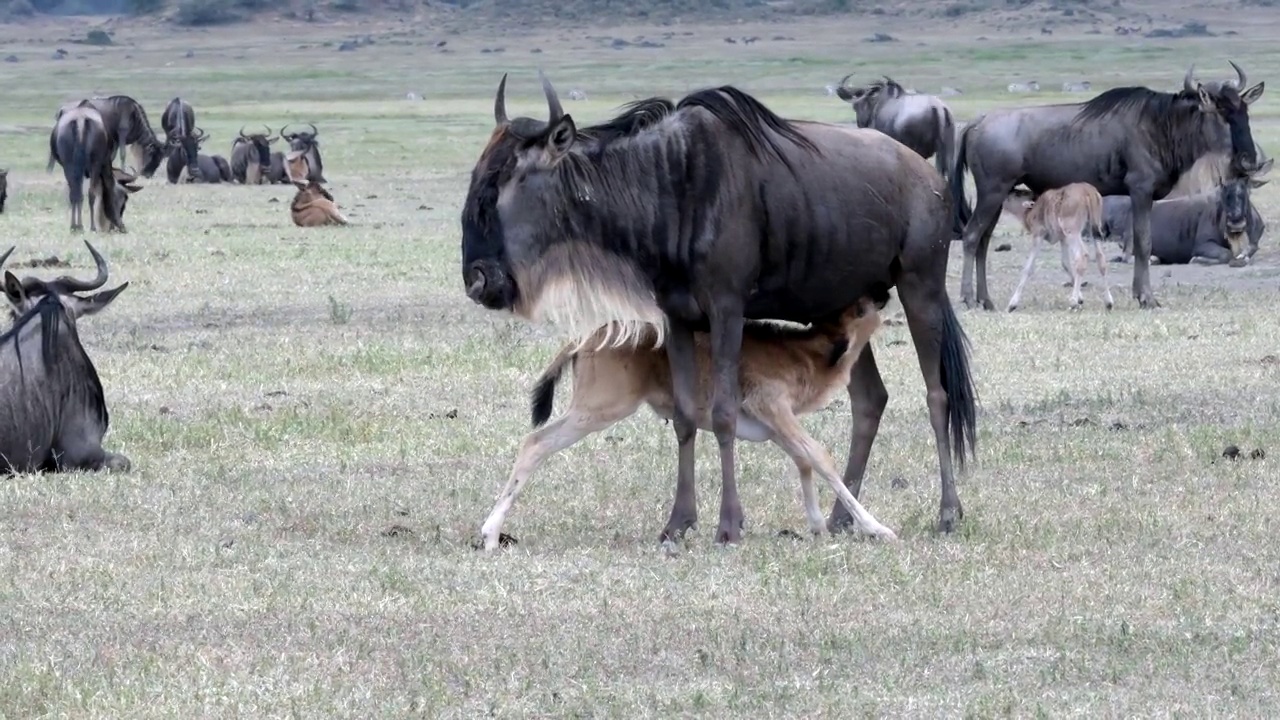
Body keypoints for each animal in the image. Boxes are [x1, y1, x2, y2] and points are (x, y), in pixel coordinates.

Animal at [481, 292, 901, 548]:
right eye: (858, 311)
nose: (880, 294)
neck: (808, 352)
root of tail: (587, 337)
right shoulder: (773, 409)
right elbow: (821, 458)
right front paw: (877, 527)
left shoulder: (773, 426)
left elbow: (804, 461)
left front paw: (816, 525)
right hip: (599, 409)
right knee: (534, 443)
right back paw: (490, 533)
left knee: (535, 445)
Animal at [998, 180, 1111, 310]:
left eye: (1017, 194)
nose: (1007, 192)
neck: (1031, 210)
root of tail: (1089, 192)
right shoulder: (1063, 238)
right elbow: (1065, 263)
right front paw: (1080, 298)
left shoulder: (1038, 234)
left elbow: (1028, 267)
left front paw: (1013, 303)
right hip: (1094, 228)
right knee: (1101, 258)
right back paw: (1108, 302)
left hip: (1073, 231)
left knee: (1082, 256)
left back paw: (1073, 301)